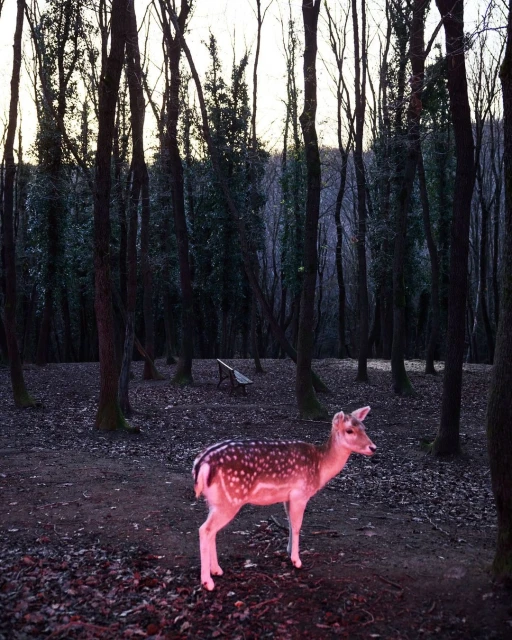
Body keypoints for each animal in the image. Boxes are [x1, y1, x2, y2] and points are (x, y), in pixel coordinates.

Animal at [192, 406, 376, 590]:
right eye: (349, 430)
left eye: (364, 427)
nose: (373, 447)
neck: (320, 468)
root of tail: (201, 465)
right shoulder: (300, 493)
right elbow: (297, 526)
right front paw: (296, 560)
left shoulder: (287, 497)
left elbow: (289, 523)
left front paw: (288, 551)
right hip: (231, 499)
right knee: (204, 529)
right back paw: (207, 581)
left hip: (215, 501)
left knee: (212, 531)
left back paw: (217, 570)